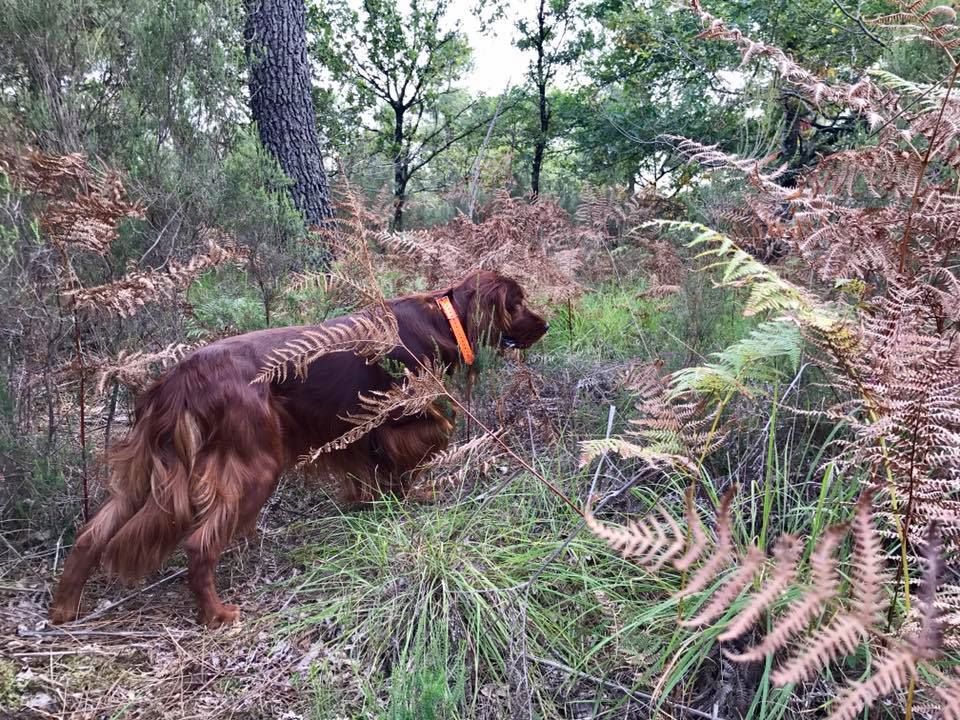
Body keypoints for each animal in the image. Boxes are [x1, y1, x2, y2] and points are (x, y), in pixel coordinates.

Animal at [50, 270, 548, 624]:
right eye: (519, 303)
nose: (546, 325)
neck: (442, 318)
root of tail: (180, 380)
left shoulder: (354, 428)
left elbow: (370, 467)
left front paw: (378, 499)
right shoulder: (401, 415)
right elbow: (435, 433)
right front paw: (414, 492)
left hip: (146, 468)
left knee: (92, 532)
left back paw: (65, 608)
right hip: (257, 465)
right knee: (197, 544)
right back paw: (216, 614)